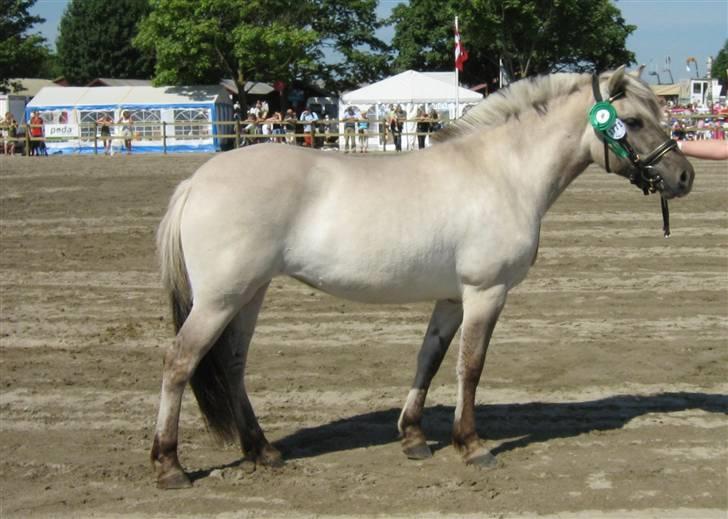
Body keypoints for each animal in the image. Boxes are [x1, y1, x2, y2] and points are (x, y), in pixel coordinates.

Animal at [149, 67, 692, 490]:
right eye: (633, 121)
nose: (684, 177)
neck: (502, 173)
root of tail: (196, 181)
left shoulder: (452, 298)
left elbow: (429, 360)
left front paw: (412, 437)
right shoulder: (485, 293)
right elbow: (471, 367)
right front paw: (471, 445)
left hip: (249, 295)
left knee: (233, 365)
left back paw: (262, 450)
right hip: (219, 299)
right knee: (179, 362)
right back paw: (169, 465)